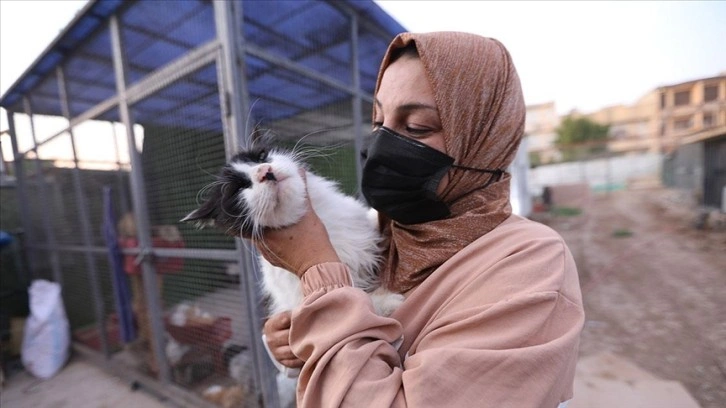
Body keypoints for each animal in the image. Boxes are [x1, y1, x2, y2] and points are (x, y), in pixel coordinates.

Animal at [183, 145, 404, 318]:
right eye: (239, 187)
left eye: (261, 157)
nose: (264, 170)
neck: (326, 224)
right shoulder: (302, 303)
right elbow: (353, 298)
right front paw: (389, 300)